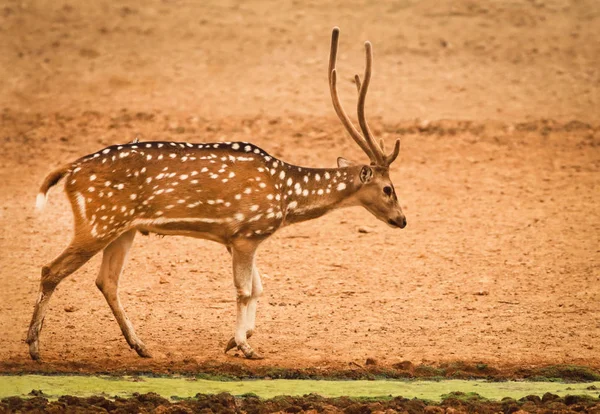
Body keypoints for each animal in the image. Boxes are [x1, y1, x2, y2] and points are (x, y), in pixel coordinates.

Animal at [25, 27, 406, 360]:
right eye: (389, 188)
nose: (402, 220)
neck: (286, 194)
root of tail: (71, 170)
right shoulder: (247, 234)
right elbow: (245, 289)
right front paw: (246, 347)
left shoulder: (236, 239)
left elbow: (259, 287)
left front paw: (235, 341)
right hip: (98, 221)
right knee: (51, 270)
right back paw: (34, 346)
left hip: (124, 229)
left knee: (106, 281)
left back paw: (141, 346)